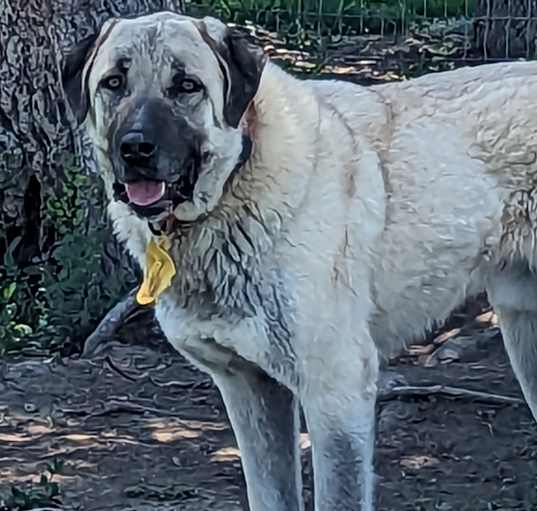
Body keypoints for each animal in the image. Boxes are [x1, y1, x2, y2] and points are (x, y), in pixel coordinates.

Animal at [61, 12, 537, 511]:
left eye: (186, 85)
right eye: (114, 83)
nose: (135, 148)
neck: (235, 188)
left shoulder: (336, 391)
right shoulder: (248, 387)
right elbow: (270, 494)